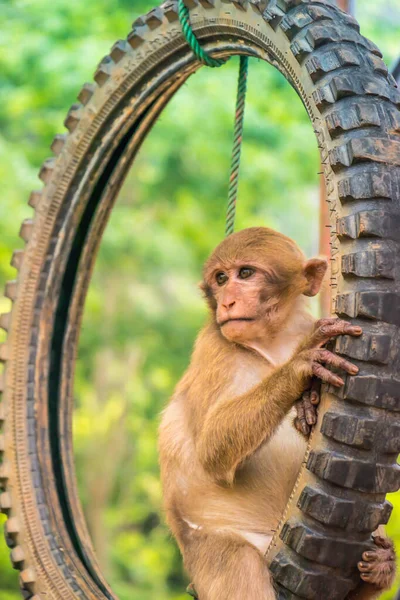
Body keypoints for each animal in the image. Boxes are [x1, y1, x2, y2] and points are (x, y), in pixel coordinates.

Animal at [158, 227, 396, 596]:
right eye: (221, 279)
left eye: (245, 273)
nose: (227, 302)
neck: (273, 340)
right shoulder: (214, 347)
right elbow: (212, 450)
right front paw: (301, 365)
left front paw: (309, 402)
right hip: (210, 553)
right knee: (238, 563)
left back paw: (380, 564)